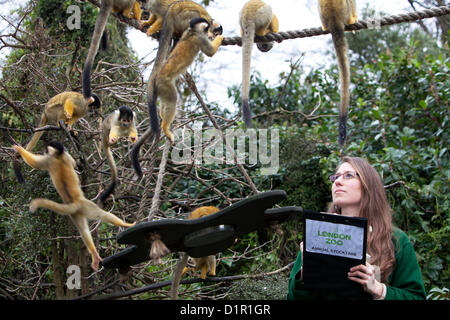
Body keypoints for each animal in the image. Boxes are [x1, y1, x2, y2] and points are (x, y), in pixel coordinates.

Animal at [12, 142, 134, 270]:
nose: (44, 151)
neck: (57, 155)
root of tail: (74, 203)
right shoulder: (56, 158)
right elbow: (68, 162)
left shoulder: (50, 159)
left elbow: (36, 163)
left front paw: (20, 150)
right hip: (84, 207)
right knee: (96, 219)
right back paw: (122, 227)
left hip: (79, 210)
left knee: (87, 227)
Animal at [131, 16, 224, 178]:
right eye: (211, 30)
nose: (212, 33)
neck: (193, 31)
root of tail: (156, 81)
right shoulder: (200, 38)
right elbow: (210, 52)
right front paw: (219, 38)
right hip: (165, 86)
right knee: (172, 100)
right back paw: (165, 127)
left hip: (162, 90)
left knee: (166, 103)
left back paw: (162, 116)